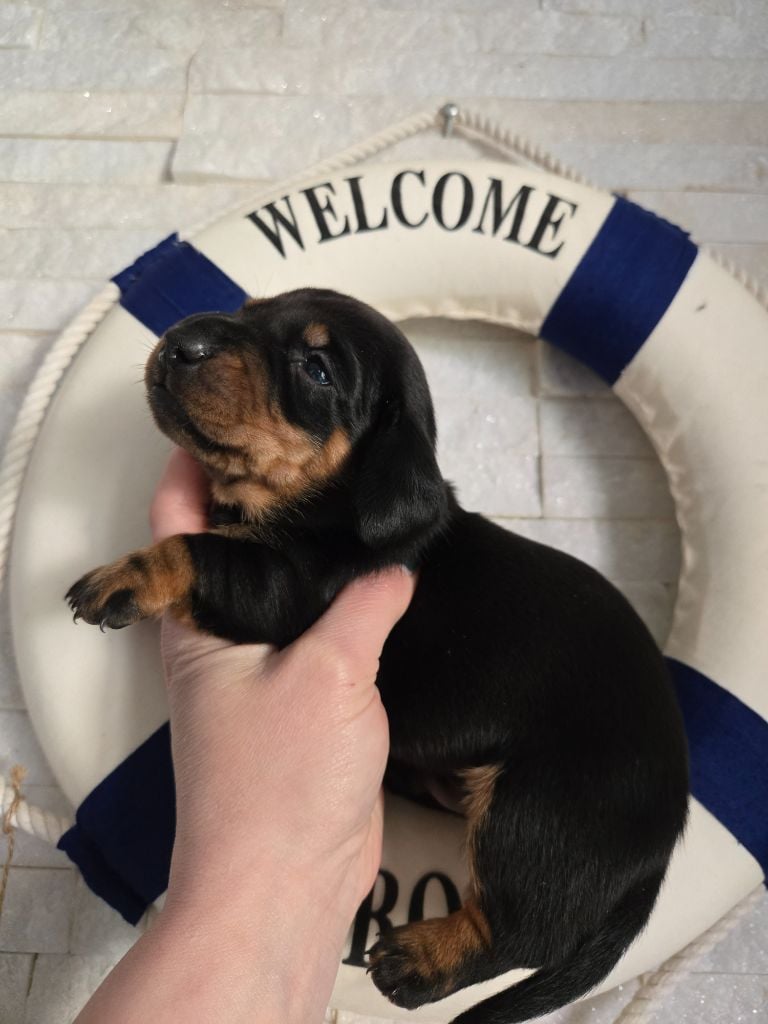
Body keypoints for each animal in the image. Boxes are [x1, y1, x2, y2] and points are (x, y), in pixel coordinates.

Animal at [67, 288, 689, 1023]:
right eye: (248, 309)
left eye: (317, 370)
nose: (180, 340)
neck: (326, 504)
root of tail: (662, 847)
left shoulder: (284, 588)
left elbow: (194, 549)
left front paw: (120, 577)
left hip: (538, 815)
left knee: (521, 932)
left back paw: (418, 960)